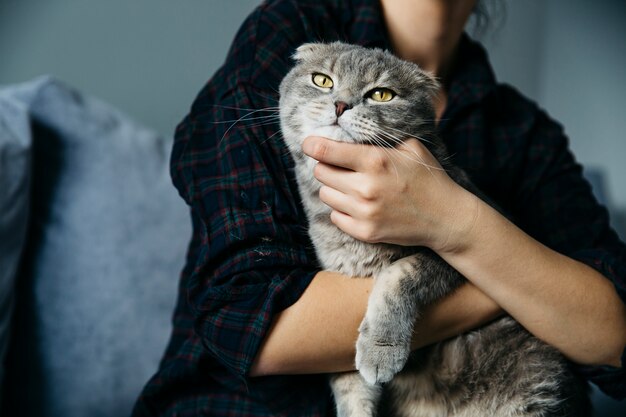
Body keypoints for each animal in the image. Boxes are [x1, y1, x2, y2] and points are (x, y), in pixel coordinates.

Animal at [276, 43, 588, 416]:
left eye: (381, 94)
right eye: (322, 80)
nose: (340, 104)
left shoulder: (454, 259)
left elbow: (396, 275)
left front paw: (380, 349)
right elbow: (350, 388)